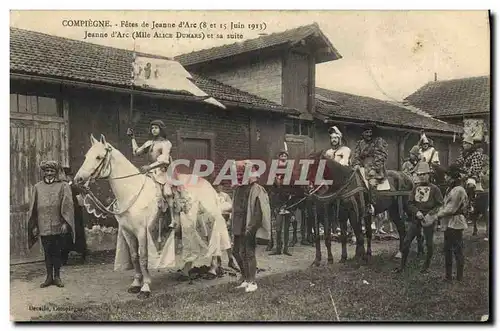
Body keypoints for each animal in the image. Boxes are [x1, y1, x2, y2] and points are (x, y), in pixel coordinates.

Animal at [74, 134, 232, 300]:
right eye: (86, 156)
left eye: (98, 157)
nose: (78, 179)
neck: (132, 191)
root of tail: (210, 188)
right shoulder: (127, 232)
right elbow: (134, 257)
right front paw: (136, 284)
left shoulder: (142, 232)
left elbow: (143, 258)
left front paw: (145, 287)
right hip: (189, 228)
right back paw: (185, 273)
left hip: (209, 223)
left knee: (213, 244)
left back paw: (212, 271)